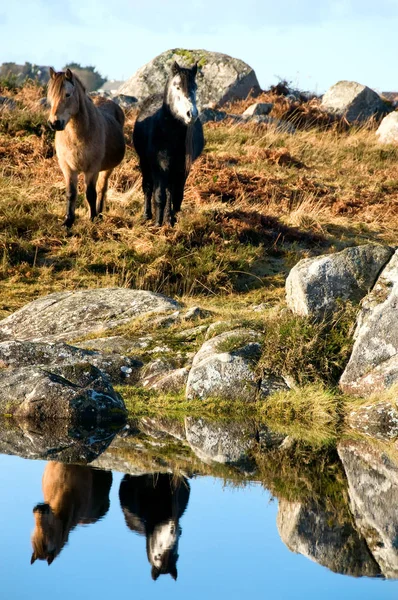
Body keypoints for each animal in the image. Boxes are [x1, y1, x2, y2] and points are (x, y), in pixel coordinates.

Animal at [46, 67, 126, 227]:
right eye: (50, 96)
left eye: (68, 94)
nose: (54, 123)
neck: (77, 136)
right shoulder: (68, 168)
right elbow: (71, 193)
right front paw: (68, 220)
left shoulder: (92, 169)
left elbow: (90, 193)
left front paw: (93, 218)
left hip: (107, 169)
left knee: (101, 188)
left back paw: (99, 214)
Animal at [133, 62, 204, 227]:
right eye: (177, 86)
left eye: (195, 87)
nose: (191, 114)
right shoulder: (159, 165)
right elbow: (159, 195)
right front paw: (158, 224)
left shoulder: (181, 167)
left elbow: (176, 195)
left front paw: (171, 220)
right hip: (145, 163)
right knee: (148, 187)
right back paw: (147, 215)